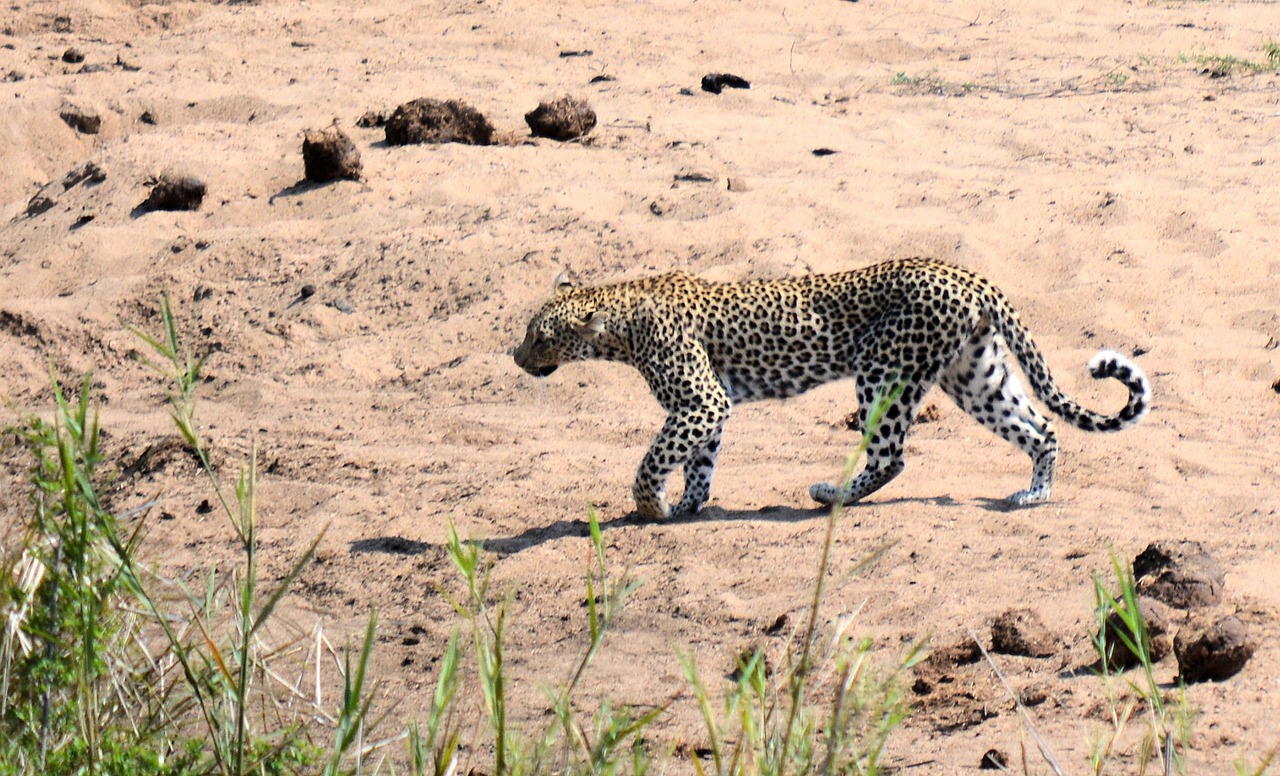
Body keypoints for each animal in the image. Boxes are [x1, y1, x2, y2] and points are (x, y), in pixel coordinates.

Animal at [514, 259, 1157, 522]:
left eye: (539, 336)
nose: (515, 357)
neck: (621, 319)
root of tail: (966, 274)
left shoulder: (700, 400)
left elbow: (652, 461)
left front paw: (652, 508)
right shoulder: (708, 405)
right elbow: (698, 461)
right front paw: (691, 503)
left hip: (885, 371)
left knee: (892, 455)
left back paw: (832, 494)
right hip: (974, 375)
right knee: (1040, 426)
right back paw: (1035, 494)